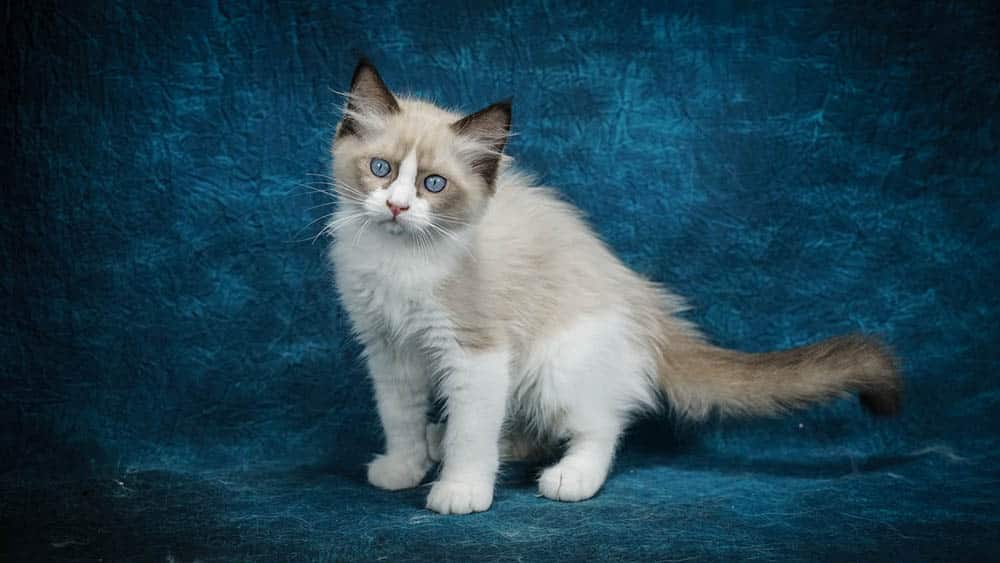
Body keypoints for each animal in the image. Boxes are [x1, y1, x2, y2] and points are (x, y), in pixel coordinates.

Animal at [326, 58, 900, 516]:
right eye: (381, 169)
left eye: (433, 185)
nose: (397, 207)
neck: (400, 260)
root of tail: (646, 304)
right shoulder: (388, 349)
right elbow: (399, 415)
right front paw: (403, 467)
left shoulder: (477, 352)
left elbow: (473, 430)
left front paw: (461, 490)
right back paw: (441, 443)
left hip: (555, 362)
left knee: (600, 425)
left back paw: (568, 477)